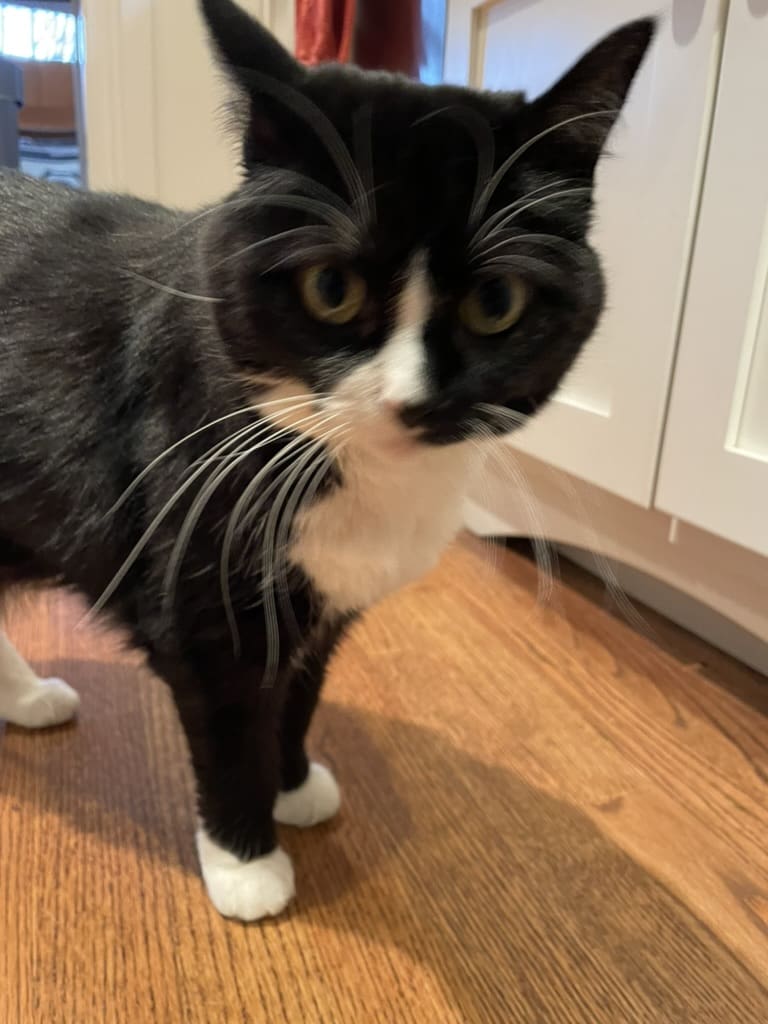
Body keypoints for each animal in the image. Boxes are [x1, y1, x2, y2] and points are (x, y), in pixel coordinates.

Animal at [0, 0, 655, 921]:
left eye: (497, 302)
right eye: (330, 289)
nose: (413, 401)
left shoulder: (326, 599)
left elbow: (299, 691)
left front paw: (294, 783)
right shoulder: (198, 593)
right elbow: (230, 719)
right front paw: (245, 860)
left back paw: (27, 699)